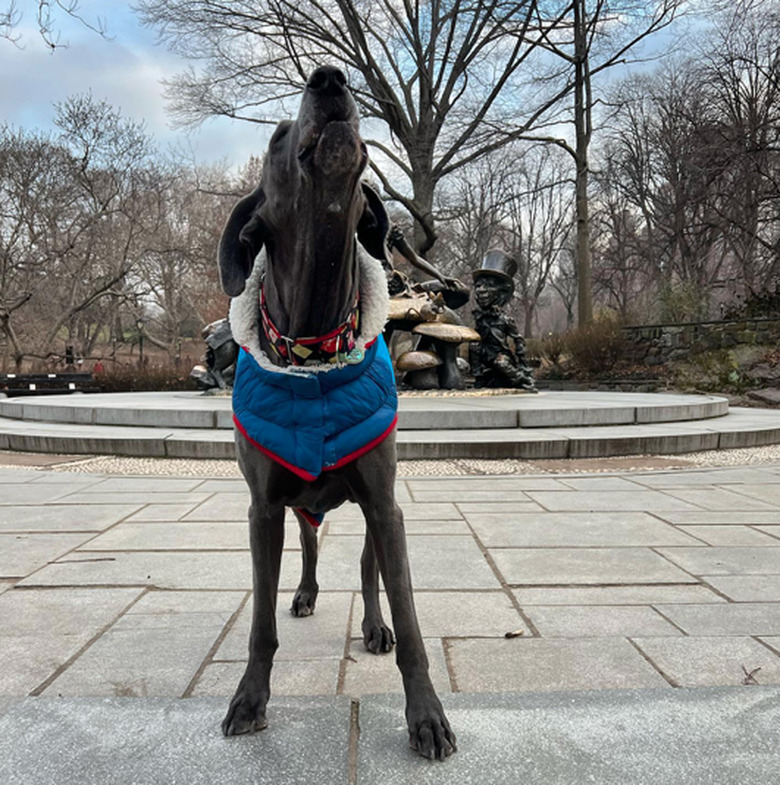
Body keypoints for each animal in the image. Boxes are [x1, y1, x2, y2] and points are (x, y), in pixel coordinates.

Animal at [216, 66, 454, 760]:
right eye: (275, 136)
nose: (330, 79)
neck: (316, 347)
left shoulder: (384, 501)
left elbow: (409, 615)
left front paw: (426, 716)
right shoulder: (263, 508)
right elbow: (259, 623)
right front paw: (250, 698)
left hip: (375, 509)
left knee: (368, 571)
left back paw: (372, 626)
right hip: (298, 506)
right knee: (310, 547)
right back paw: (304, 592)